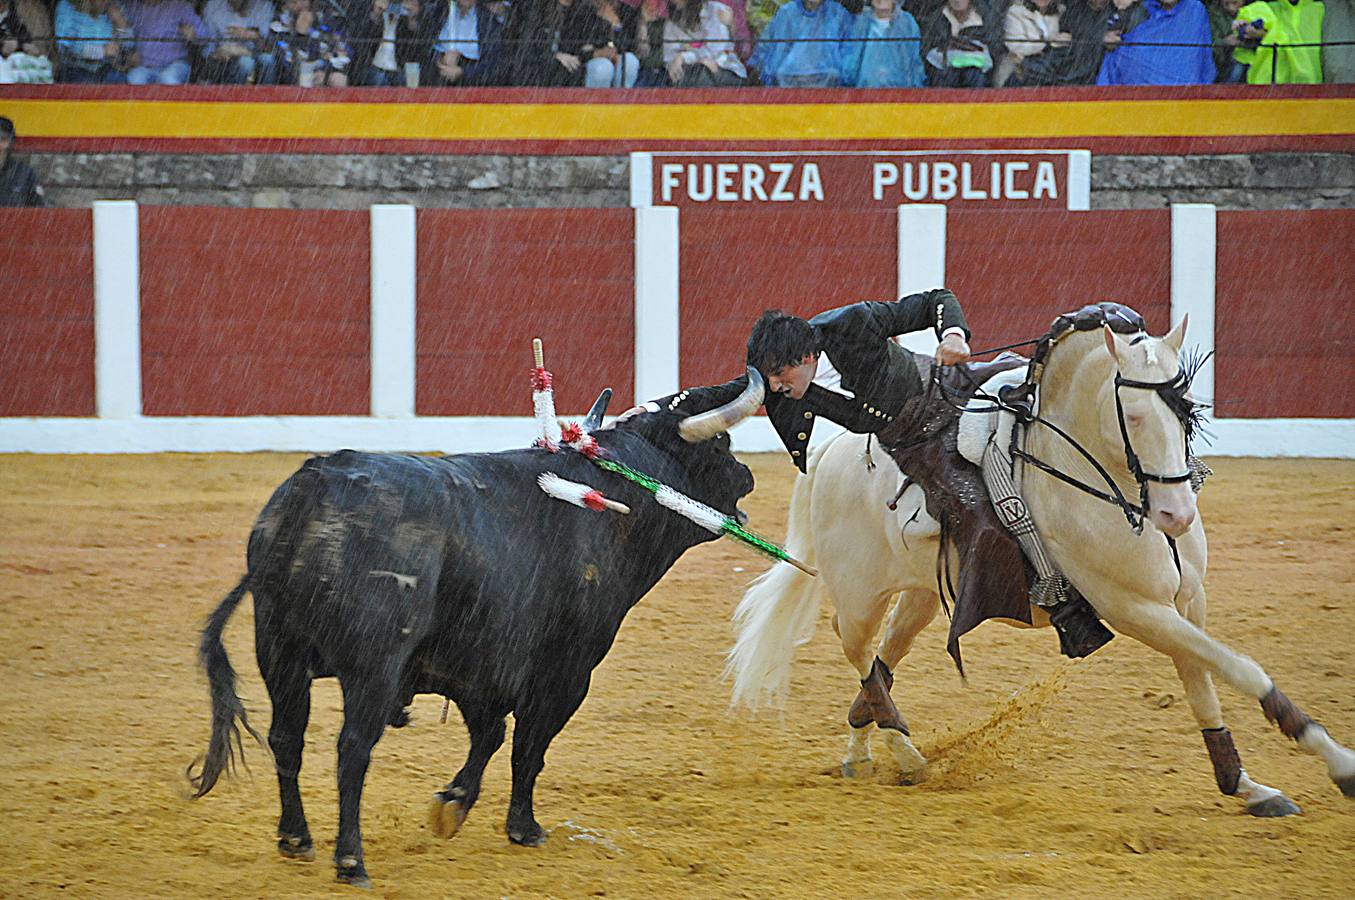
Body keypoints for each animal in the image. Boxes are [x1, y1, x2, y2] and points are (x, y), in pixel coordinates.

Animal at [189, 382, 764, 889]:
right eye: (720, 443)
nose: (748, 477)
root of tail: (312, 489)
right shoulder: (567, 670)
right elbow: (529, 747)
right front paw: (524, 828)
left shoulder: (475, 669)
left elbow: (490, 736)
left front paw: (453, 804)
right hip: (373, 666)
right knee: (352, 748)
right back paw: (350, 861)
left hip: (277, 650)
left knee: (286, 738)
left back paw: (295, 838)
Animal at [731, 311, 1355, 813]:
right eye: (1131, 414)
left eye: (1185, 410)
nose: (1176, 515)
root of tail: (826, 452)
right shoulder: (1133, 609)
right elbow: (1239, 667)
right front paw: (1339, 764)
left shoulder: (1184, 601)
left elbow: (1203, 679)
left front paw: (1245, 785)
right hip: (859, 595)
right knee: (857, 648)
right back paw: (906, 753)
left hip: (923, 595)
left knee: (883, 658)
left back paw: (865, 748)